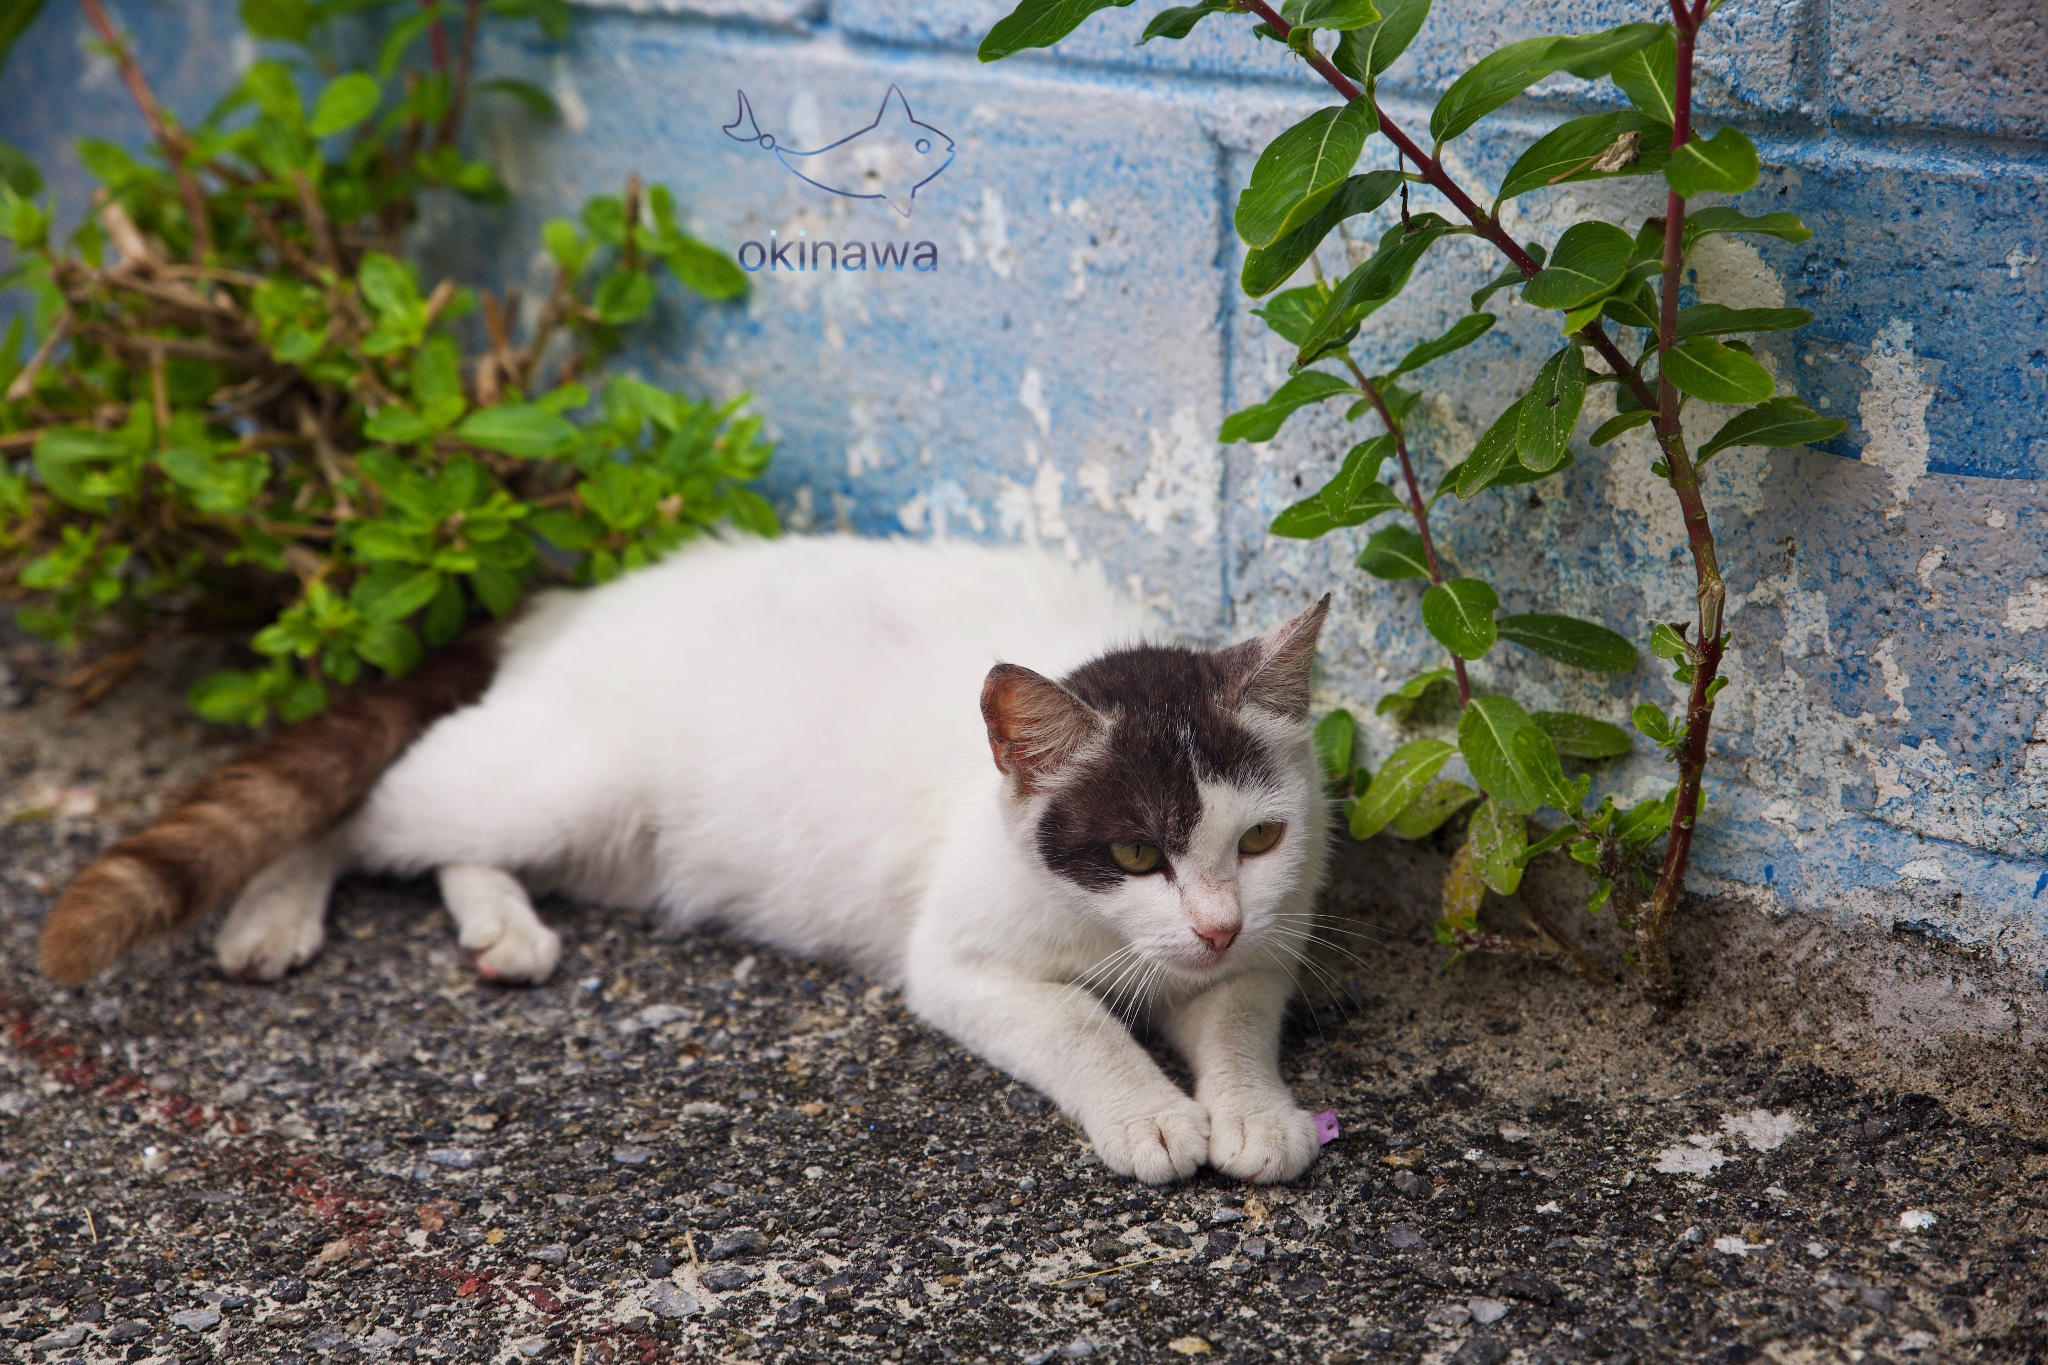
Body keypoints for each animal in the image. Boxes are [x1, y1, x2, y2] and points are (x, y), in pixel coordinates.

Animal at [44, 532, 1343, 1186]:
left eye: (1259, 839)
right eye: (1129, 850)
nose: (1214, 920)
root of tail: (565, 604)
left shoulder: (1268, 937)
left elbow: (1238, 1013)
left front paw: (1251, 1111)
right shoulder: (960, 963)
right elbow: (1076, 1025)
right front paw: (1152, 1115)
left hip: (609, 837)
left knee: (458, 851)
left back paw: (501, 928)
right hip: (563, 777)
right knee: (366, 810)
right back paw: (273, 912)